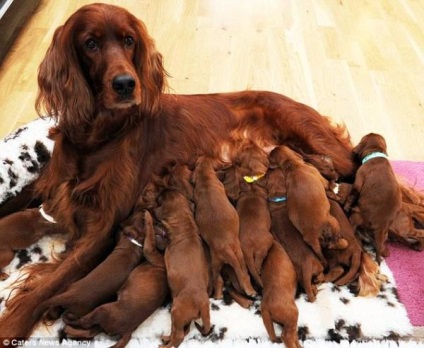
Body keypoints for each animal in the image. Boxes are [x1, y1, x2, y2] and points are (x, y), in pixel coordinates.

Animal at [193, 156, 255, 300]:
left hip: (218, 262)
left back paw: (218, 295)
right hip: (237, 255)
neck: (205, 178)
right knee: (242, 274)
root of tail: (226, 248)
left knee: (220, 279)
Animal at [344, 134, 400, 264]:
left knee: (353, 226)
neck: (377, 154)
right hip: (384, 235)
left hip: (356, 214)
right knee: (383, 248)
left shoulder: (359, 179)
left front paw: (346, 206)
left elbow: (352, 194)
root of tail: (380, 228)